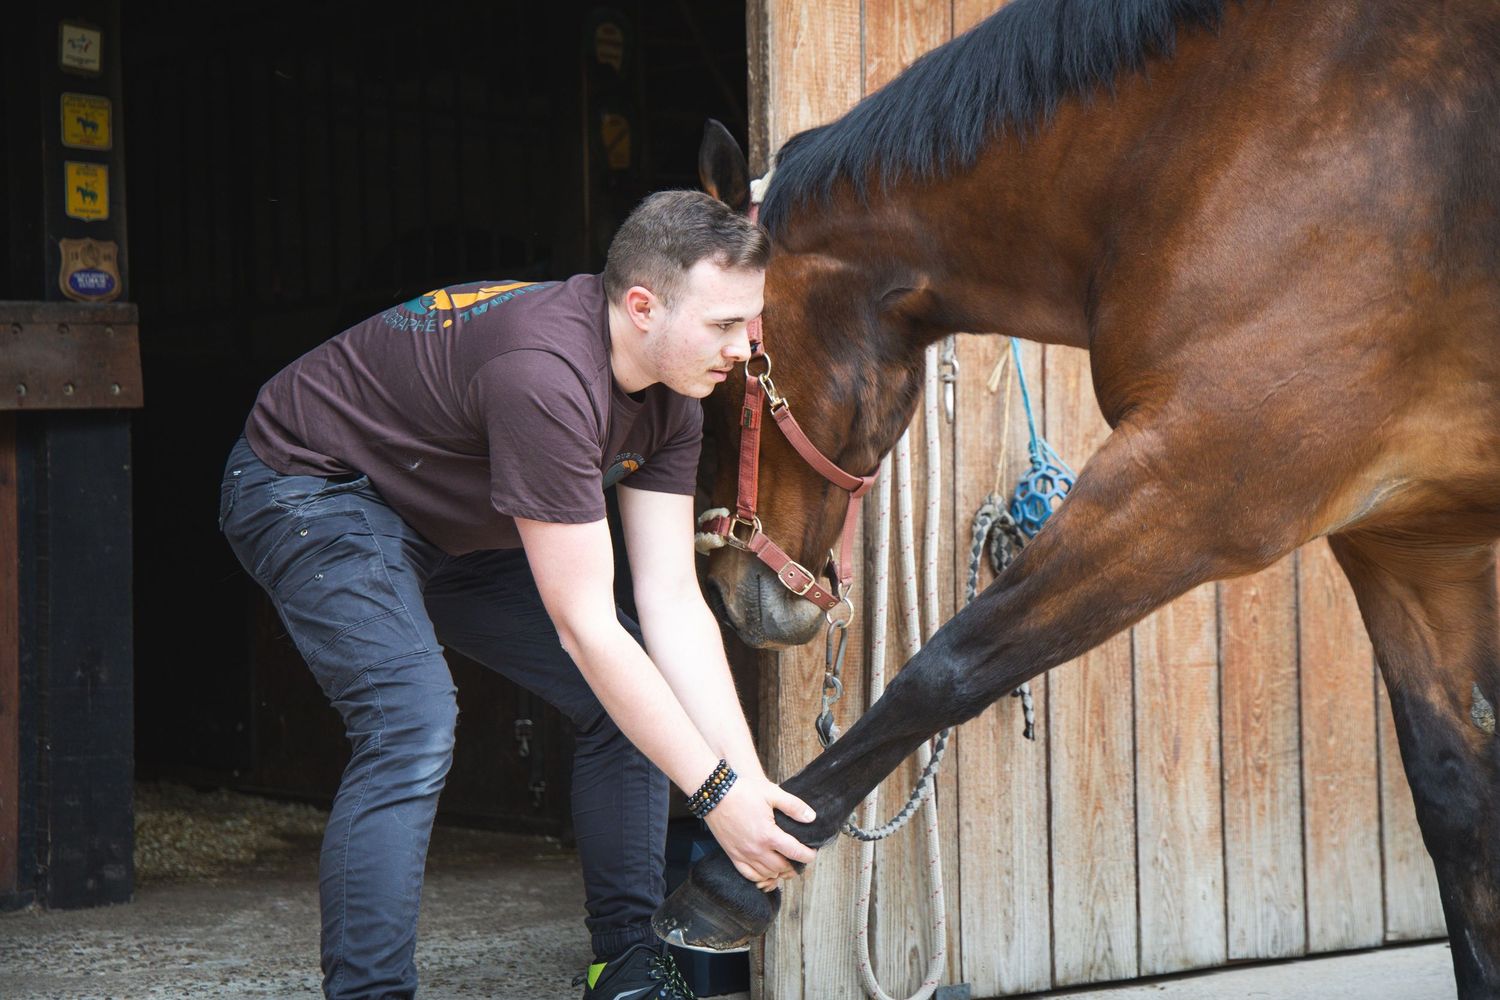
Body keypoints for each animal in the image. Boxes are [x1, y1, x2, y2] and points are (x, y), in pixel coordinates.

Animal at [659, 1, 1500, 995]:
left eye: (719, 380)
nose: (727, 589)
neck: (1217, 140)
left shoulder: (1201, 480)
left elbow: (946, 668)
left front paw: (734, 875)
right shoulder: (1412, 540)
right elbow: (1456, 796)